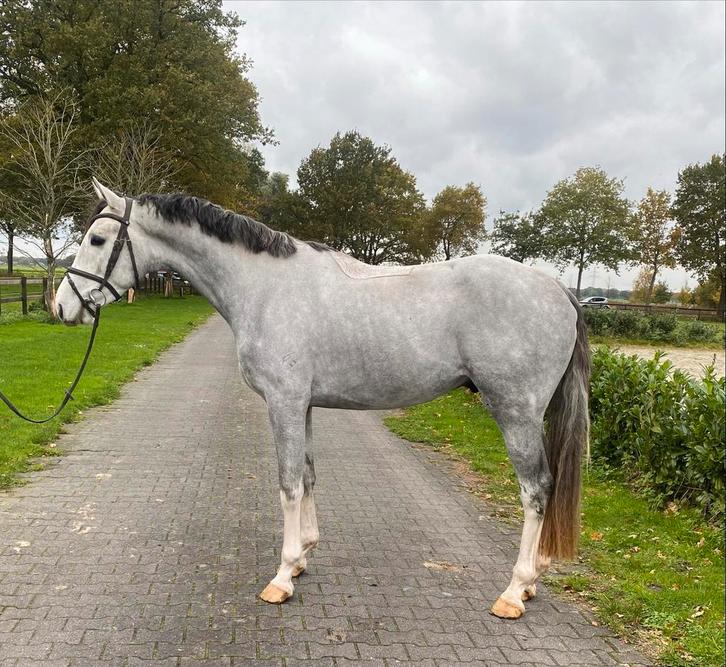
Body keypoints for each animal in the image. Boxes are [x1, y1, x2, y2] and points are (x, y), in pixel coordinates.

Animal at [54, 178, 590, 619]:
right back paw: (531, 585)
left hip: (516, 412)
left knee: (536, 490)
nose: (61, 307)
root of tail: (558, 289)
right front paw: (304, 558)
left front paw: (282, 576)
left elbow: (288, 483)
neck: (264, 287)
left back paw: (515, 591)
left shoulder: (283, 403)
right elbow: (308, 475)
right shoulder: (303, 405)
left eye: (97, 240)